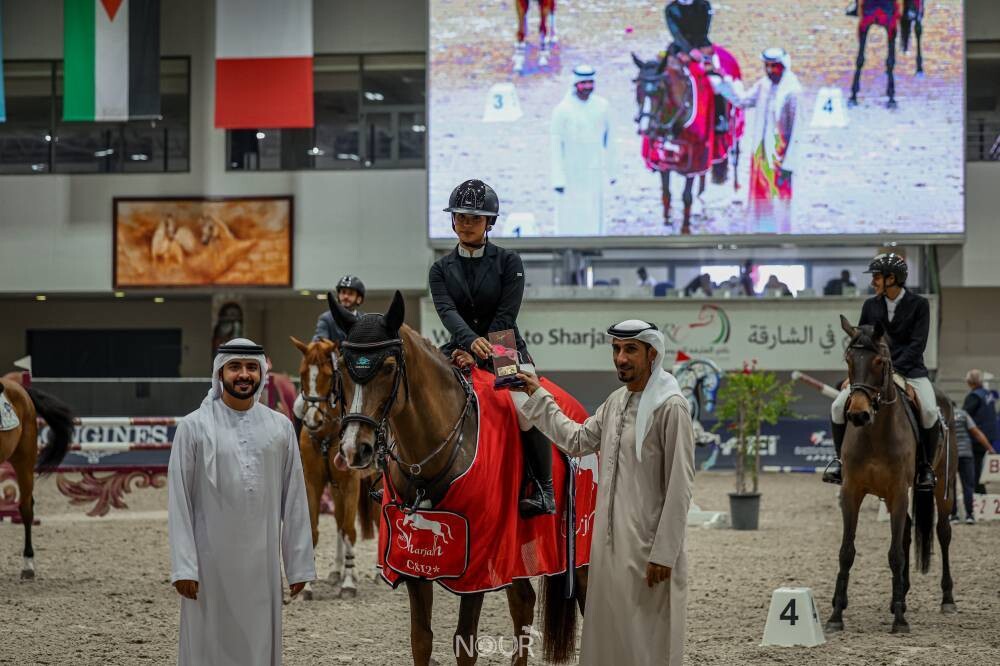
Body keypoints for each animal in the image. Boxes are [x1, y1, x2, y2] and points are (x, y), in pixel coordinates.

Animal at [292, 338, 382, 596]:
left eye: (328, 376)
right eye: (302, 374)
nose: (312, 420)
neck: (326, 435)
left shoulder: (350, 484)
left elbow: (350, 530)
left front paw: (349, 582)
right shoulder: (313, 483)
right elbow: (316, 530)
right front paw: (308, 586)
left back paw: (376, 572)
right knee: (339, 522)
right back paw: (335, 571)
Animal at [328, 292, 584, 664]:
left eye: (388, 368)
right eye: (343, 369)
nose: (354, 448)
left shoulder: (476, 566)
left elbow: (465, 643)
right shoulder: (414, 563)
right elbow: (421, 639)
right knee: (523, 602)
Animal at [426, 0, 964, 239]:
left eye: (658, 88)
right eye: (634, 89)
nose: (645, 127)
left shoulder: (691, 158)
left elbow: (685, 192)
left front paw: (684, 224)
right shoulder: (667, 162)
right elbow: (667, 192)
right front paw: (667, 218)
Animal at [824, 316, 956, 632]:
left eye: (880, 361)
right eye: (849, 359)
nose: (857, 415)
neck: (874, 432)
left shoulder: (897, 491)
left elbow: (895, 554)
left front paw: (899, 620)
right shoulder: (851, 492)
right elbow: (847, 552)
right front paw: (836, 614)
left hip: (943, 485)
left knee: (943, 532)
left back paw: (947, 599)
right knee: (907, 532)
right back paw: (902, 596)